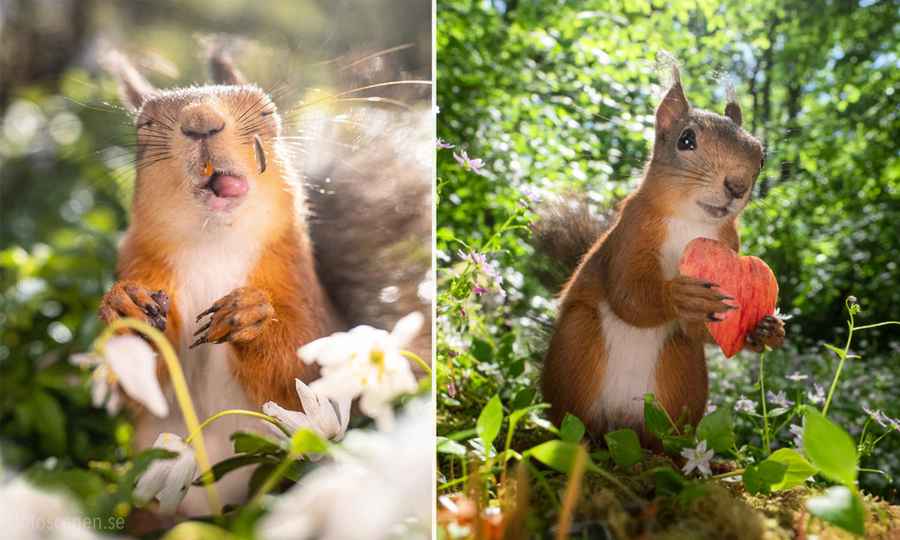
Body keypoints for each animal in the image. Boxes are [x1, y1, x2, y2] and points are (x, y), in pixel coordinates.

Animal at [96, 48, 430, 512]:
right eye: (144, 126)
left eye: (267, 111)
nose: (201, 121)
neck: (213, 243)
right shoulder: (143, 264)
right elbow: (142, 387)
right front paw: (123, 304)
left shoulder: (298, 284)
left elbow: (297, 368)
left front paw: (251, 314)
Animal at [536, 67, 784, 446]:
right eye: (686, 140)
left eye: (760, 155)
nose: (737, 186)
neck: (688, 221)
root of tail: (619, 426)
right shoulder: (631, 232)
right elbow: (628, 296)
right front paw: (680, 295)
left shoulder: (731, 245)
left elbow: (703, 329)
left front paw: (766, 330)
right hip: (577, 343)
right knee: (573, 419)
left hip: (681, 368)